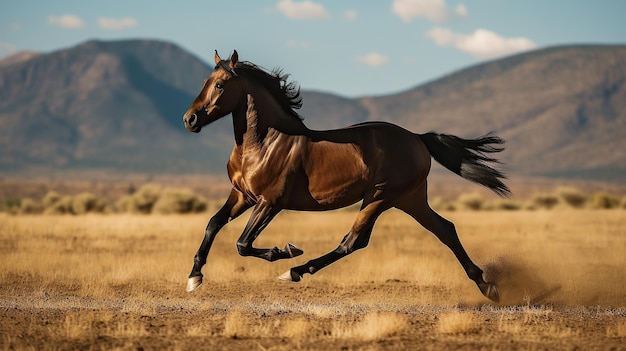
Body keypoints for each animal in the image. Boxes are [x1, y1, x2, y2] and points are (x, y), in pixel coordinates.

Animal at [180, 49, 508, 302]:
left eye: (220, 85)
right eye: (205, 82)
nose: (189, 119)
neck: (264, 143)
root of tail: (416, 138)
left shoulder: (270, 202)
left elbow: (243, 244)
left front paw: (287, 250)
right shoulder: (241, 196)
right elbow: (213, 224)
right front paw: (194, 277)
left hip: (381, 196)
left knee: (352, 241)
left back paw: (294, 271)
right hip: (408, 199)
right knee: (444, 229)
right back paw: (486, 285)